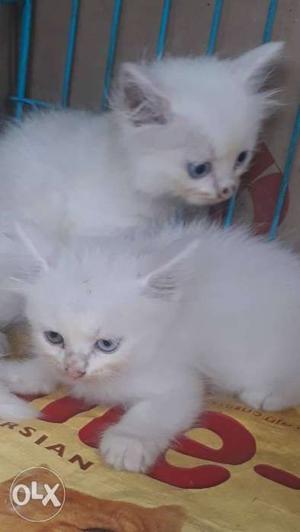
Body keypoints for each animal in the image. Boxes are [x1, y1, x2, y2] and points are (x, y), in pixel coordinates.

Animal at [2, 218, 300, 472]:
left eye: (107, 344)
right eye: (54, 337)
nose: (75, 370)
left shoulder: (182, 382)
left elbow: (155, 412)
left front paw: (129, 441)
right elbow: (47, 366)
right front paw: (20, 373)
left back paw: (268, 394)